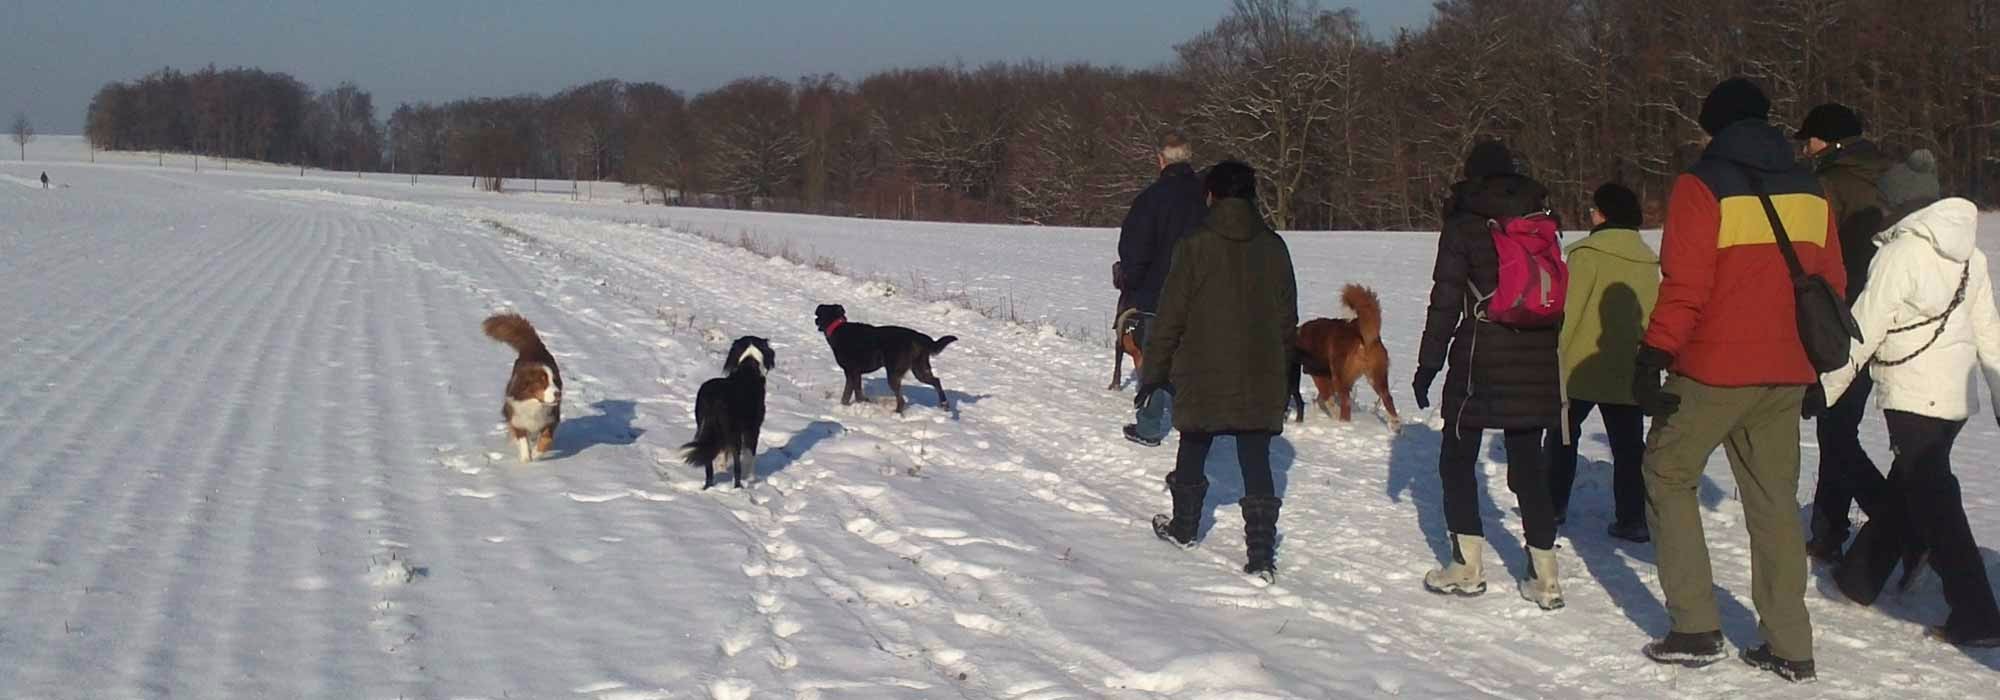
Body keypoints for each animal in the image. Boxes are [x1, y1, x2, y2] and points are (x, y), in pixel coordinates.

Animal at [488, 314, 568, 462]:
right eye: (542, 382)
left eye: (555, 381)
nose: (558, 394)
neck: (534, 404)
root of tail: (534, 346)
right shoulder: (517, 417)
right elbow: (522, 439)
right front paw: (526, 459)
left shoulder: (551, 418)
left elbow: (546, 439)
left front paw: (536, 453)